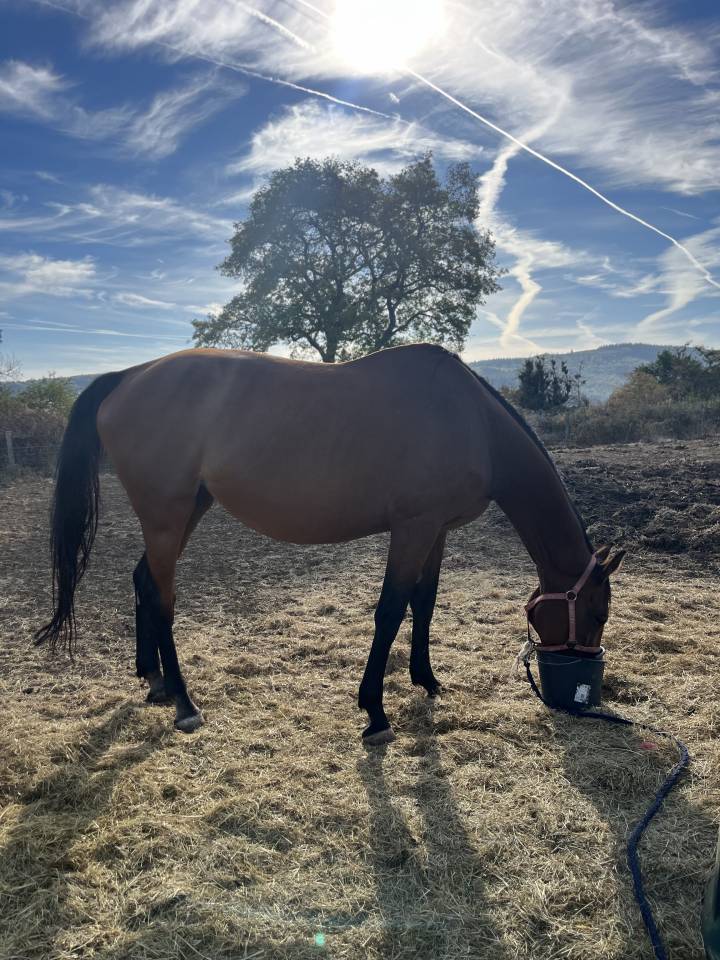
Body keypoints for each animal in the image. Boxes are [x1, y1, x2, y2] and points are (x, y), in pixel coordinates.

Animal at [36, 343, 624, 744]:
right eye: (597, 614)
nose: (582, 678)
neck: (471, 422)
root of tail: (128, 376)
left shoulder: (436, 530)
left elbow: (425, 604)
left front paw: (427, 680)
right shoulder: (412, 529)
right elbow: (390, 611)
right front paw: (375, 714)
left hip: (187, 511)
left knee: (142, 581)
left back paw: (153, 679)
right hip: (166, 515)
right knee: (161, 598)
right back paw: (184, 703)